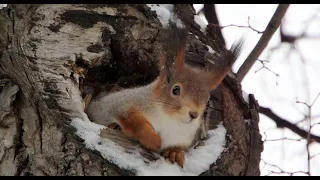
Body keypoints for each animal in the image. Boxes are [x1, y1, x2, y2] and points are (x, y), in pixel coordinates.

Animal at [85, 22, 242, 167]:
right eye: (176, 90)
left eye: (208, 99)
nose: (194, 114)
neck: (171, 120)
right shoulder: (122, 105)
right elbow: (133, 121)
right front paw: (153, 140)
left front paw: (175, 152)